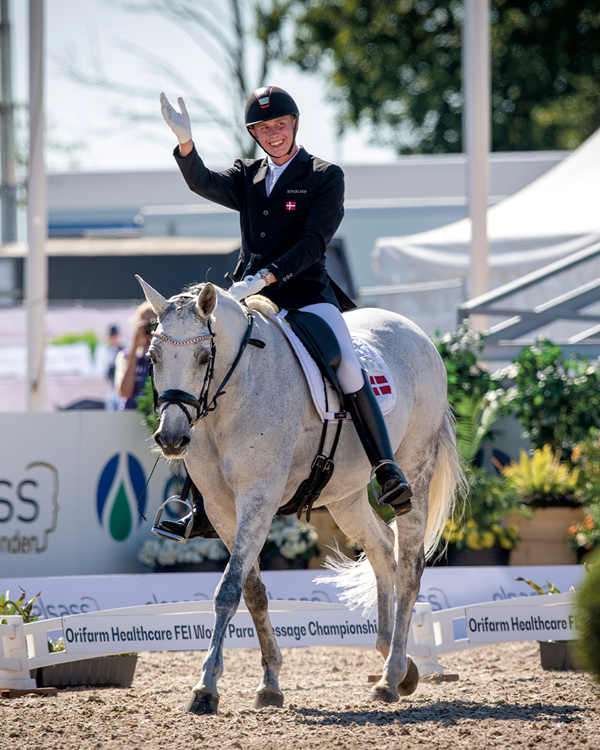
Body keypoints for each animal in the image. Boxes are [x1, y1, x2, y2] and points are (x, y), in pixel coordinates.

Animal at [138, 278, 462, 716]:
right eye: (153, 358)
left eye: (205, 357)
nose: (171, 439)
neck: (237, 390)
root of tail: (415, 332)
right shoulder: (223, 510)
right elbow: (252, 592)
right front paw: (270, 684)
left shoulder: (258, 498)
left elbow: (228, 590)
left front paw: (206, 688)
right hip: (344, 495)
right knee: (382, 551)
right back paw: (399, 666)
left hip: (415, 469)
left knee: (409, 567)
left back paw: (391, 676)